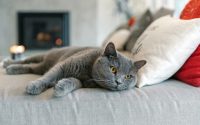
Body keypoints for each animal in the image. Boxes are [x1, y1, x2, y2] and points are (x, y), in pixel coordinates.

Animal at [3, 42, 146, 97]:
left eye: (128, 76)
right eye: (113, 69)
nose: (119, 82)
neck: (88, 73)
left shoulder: (83, 82)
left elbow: (74, 82)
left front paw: (61, 87)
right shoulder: (63, 65)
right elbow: (49, 76)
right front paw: (34, 86)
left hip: (41, 66)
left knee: (32, 67)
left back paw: (13, 68)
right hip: (47, 55)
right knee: (28, 60)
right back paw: (8, 64)